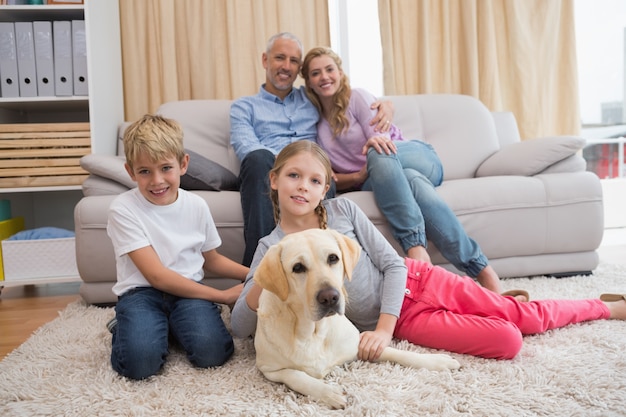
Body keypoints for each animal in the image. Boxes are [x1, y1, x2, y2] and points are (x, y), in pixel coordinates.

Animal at [251, 228, 460, 406]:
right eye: (297, 267)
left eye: (333, 258)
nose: (330, 297)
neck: (315, 332)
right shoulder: (268, 369)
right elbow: (296, 376)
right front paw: (329, 393)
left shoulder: (356, 345)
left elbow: (399, 352)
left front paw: (438, 361)